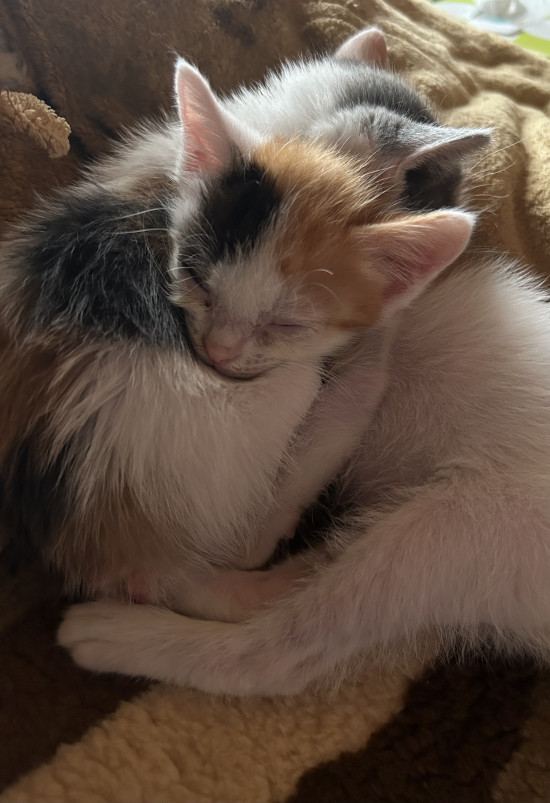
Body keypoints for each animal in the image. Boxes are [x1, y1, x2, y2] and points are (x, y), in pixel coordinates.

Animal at [0, 27, 487, 607]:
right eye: (431, 190)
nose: (217, 352)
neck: (289, 125)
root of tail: (114, 557)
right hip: (272, 400)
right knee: (250, 544)